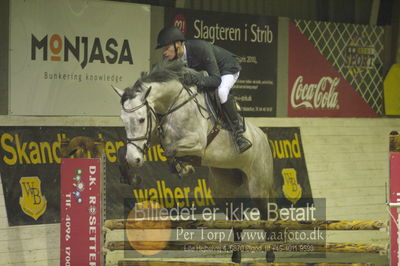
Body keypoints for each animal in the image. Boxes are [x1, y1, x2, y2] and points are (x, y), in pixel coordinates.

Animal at [112, 61, 276, 262]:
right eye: (123, 120)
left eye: (142, 119)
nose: (134, 160)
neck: (173, 103)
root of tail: (263, 137)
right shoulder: (154, 135)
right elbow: (124, 150)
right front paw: (131, 176)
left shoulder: (197, 144)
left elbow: (170, 150)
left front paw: (184, 168)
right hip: (224, 189)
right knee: (236, 217)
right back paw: (236, 256)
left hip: (258, 187)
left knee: (266, 216)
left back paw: (270, 254)